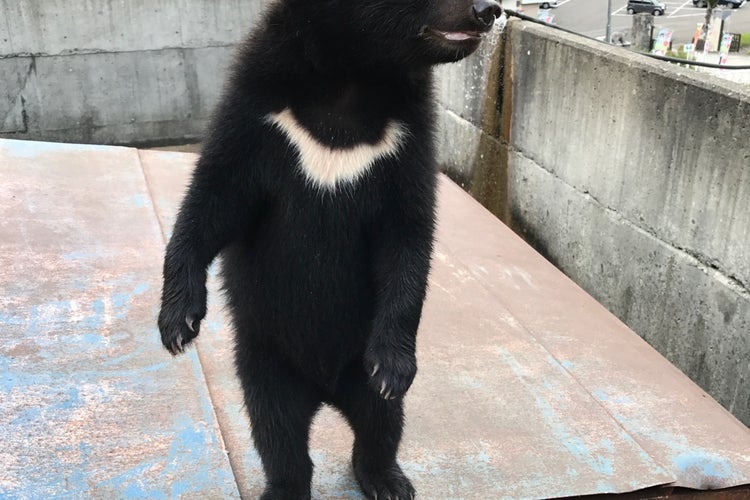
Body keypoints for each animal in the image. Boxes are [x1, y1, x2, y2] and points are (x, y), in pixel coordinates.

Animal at [157, 0, 501, 498]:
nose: (489, 11)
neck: (354, 72)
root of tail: (323, 391)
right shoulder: (257, 112)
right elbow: (214, 199)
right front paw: (177, 323)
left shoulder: (407, 137)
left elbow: (408, 236)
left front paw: (394, 369)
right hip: (265, 356)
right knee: (276, 430)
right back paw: (285, 485)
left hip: (358, 363)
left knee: (381, 421)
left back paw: (386, 477)